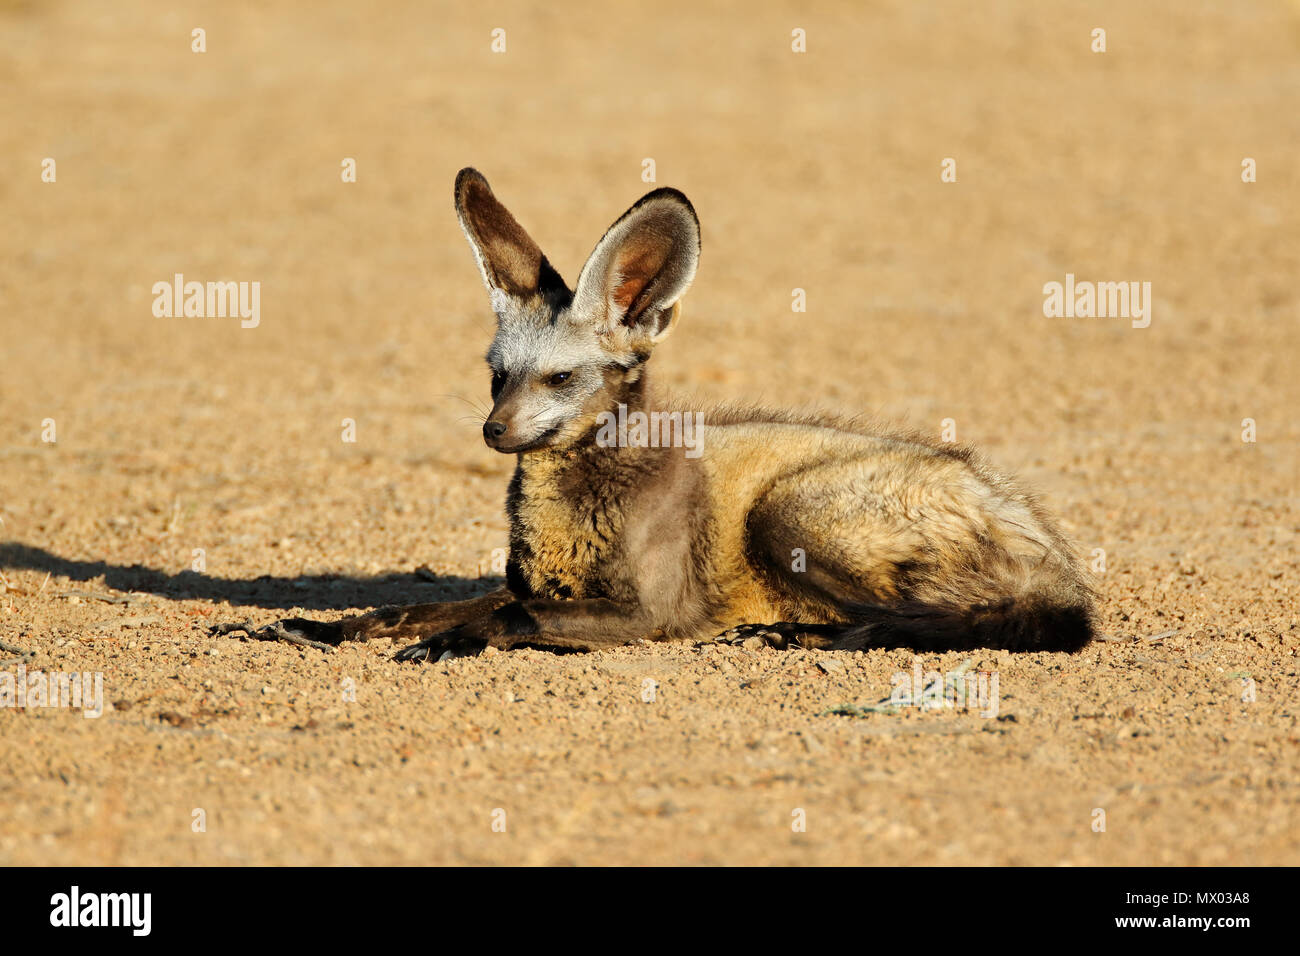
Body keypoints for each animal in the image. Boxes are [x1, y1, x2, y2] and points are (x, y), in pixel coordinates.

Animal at [218, 170, 1092, 658]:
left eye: (561, 377)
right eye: (497, 377)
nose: (494, 432)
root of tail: (1042, 534)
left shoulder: (655, 611)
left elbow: (516, 618)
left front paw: (453, 643)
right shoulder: (530, 581)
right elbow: (411, 605)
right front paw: (317, 629)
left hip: (789, 512)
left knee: (990, 619)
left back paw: (805, 634)